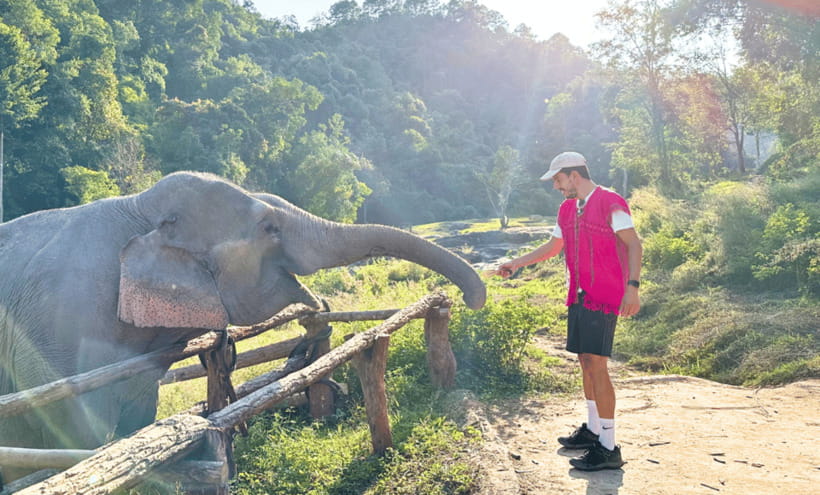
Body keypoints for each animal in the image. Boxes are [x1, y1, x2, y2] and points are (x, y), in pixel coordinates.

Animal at [0, 171, 485, 482]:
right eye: (269, 227)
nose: (469, 299)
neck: (136, 207)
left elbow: (136, 424)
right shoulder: (56, 338)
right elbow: (83, 441)